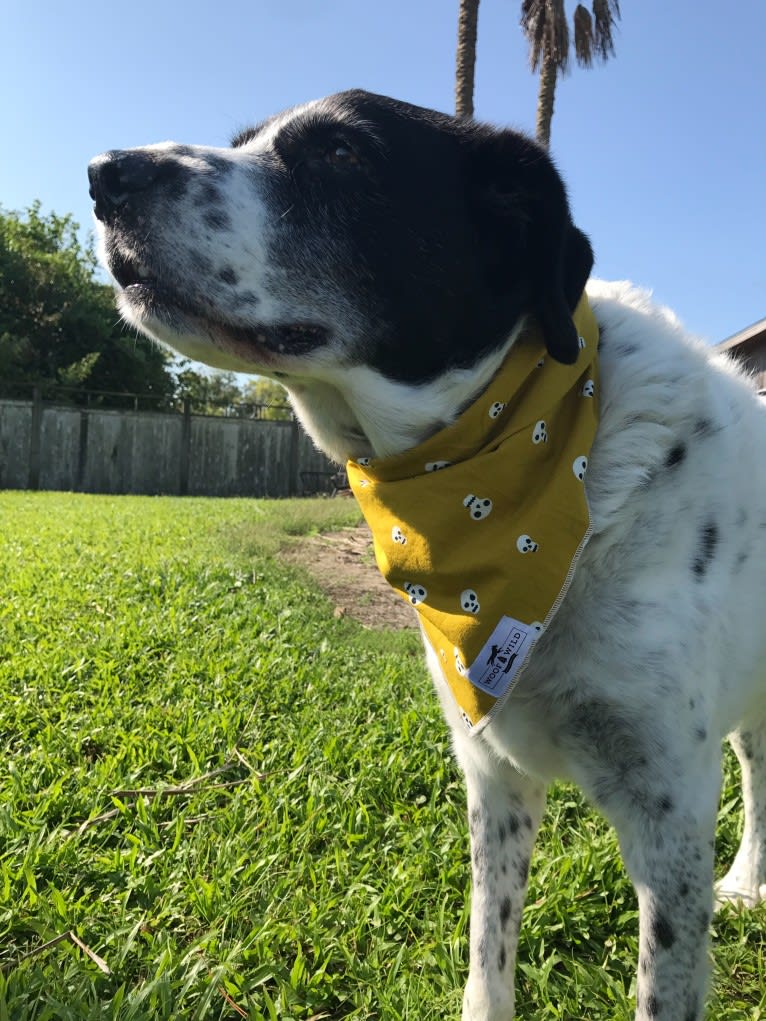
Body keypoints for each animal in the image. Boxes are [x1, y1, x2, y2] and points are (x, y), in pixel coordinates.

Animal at [89, 91, 766, 1016]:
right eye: (244, 143)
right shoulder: (491, 768)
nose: (103, 173)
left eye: (341, 152)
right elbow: (489, 946)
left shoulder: (668, 810)